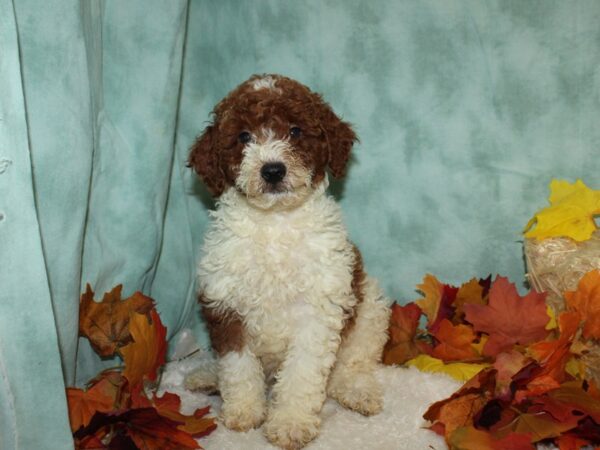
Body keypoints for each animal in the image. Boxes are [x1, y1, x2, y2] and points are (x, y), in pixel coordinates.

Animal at [189, 74, 394, 450]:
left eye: (296, 131)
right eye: (244, 136)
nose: (272, 170)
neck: (275, 223)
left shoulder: (319, 309)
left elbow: (302, 374)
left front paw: (290, 423)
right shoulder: (226, 307)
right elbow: (237, 367)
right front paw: (244, 412)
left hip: (369, 307)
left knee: (352, 364)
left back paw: (358, 391)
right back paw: (207, 377)